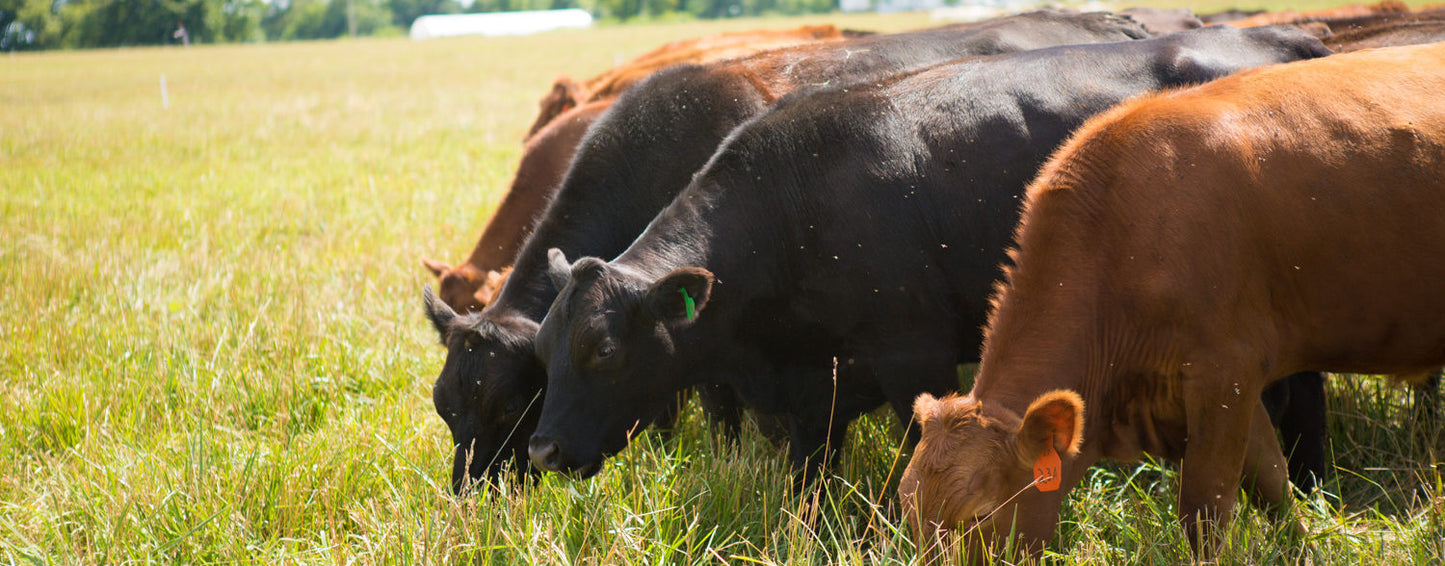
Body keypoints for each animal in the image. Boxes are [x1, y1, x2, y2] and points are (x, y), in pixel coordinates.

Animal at [895, 40, 1445, 560]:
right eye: (906, 506)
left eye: (981, 514)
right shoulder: (1221, 387)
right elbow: (1271, 481)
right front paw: (1299, 550)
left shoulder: (1224, 372)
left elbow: (1206, 509)